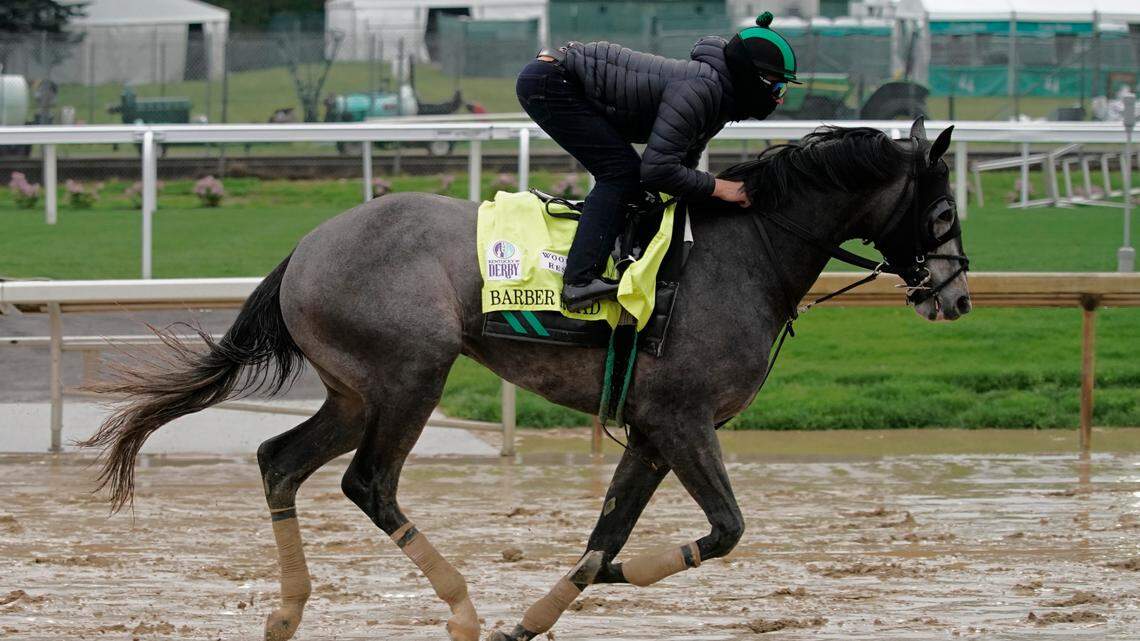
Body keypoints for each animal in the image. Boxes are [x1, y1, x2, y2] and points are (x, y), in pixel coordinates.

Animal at [81, 118, 971, 641]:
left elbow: (607, 536)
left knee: (279, 460)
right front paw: (576, 589)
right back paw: (461, 607)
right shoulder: (684, 420)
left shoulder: (652, 429)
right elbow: (723, 529)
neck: (745, 252)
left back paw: (287, 609)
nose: (956, 295)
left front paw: (551, 605)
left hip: (355, 391)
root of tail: (307, 245)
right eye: (943, 212)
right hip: (414, 372)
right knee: (369, 483)